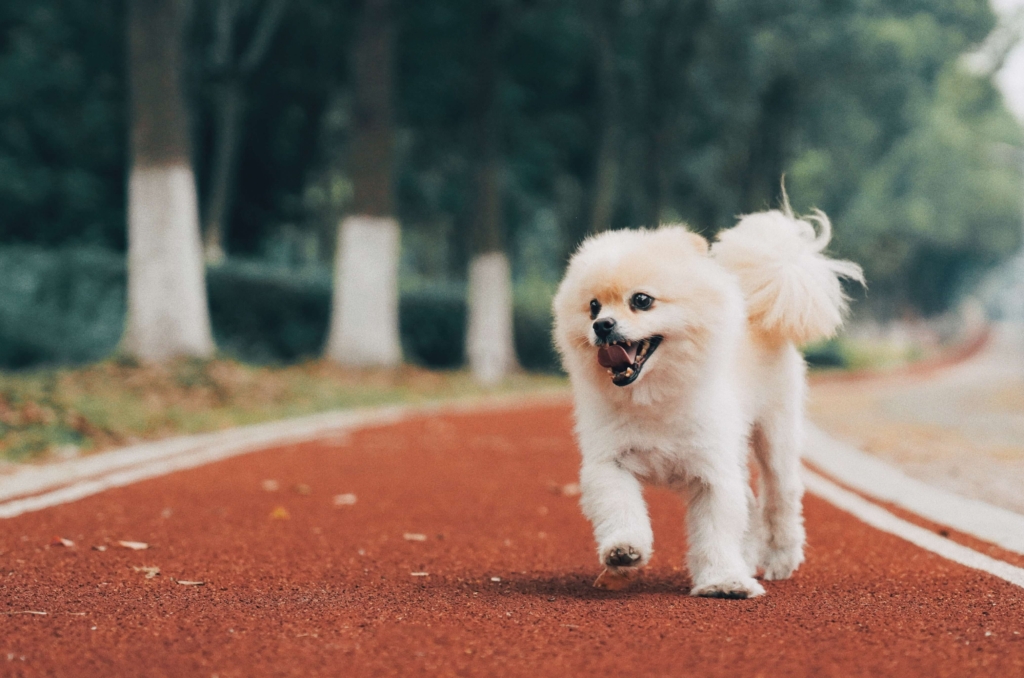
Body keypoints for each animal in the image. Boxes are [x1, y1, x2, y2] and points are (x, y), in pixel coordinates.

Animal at [552, 202, 864, 602]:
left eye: (641, 300)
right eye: (592, 307)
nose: (602, 325)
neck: (655, 395)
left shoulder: (712, 471)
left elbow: (717, 531)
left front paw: (722, 581)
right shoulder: (611, 462)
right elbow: (621, 509)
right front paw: (623, 552)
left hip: (775, 434)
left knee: (780, 497)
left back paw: (780, 559)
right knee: (750, 502)